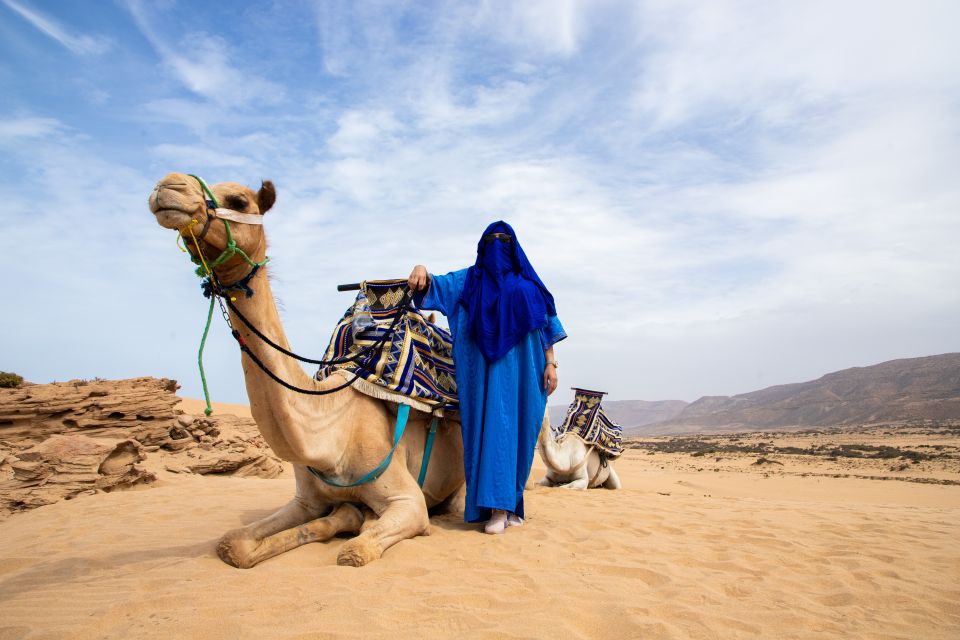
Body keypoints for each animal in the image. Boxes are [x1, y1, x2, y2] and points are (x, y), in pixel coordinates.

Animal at [146, 172, 464, 568]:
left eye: (238, 201)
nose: (168, 186)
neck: (330, 435)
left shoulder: (409, 502)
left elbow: (354, 550)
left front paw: (352, 522)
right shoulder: (305, 500)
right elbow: (233, 543)